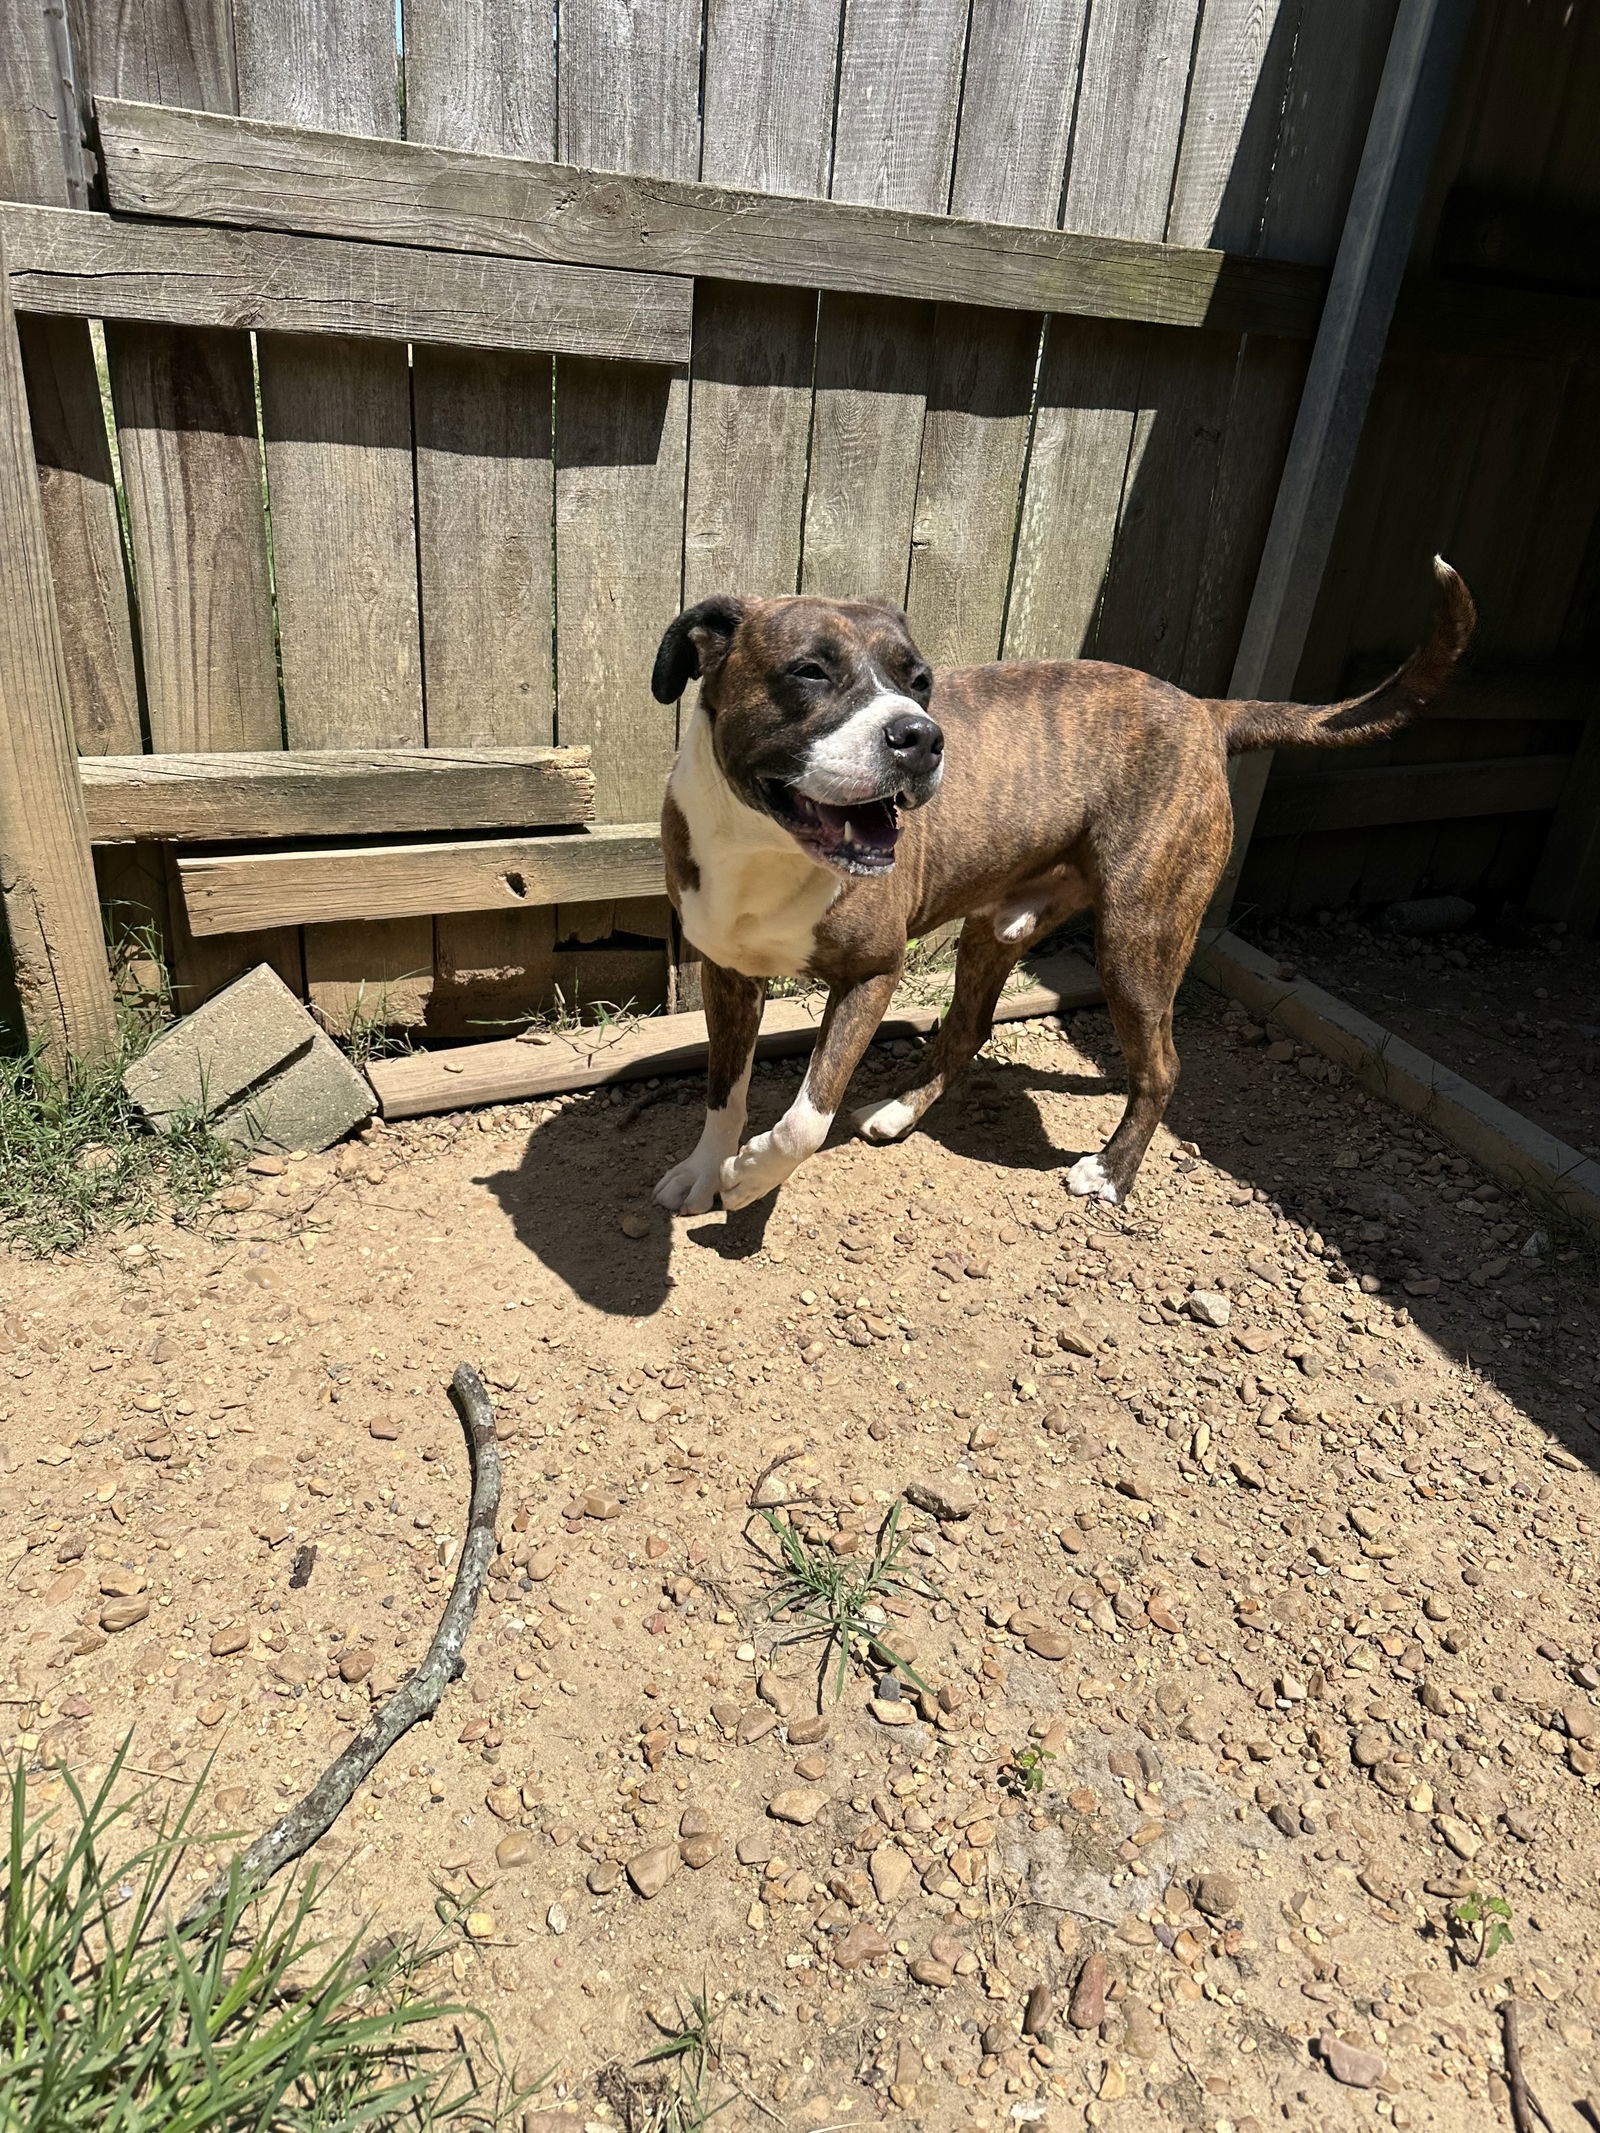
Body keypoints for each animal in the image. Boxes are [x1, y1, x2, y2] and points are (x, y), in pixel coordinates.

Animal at [644, 558, 1476, 1220]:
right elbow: (723, 1087)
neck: (764, 844)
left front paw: (750, 1175)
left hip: (1138, 943)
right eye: (810, 671)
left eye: (921, 682)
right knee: (968, 1026)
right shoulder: (727, 976)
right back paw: (901, 1111)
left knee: (1160, 1067)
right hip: (998, 929)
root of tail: (1206, 710)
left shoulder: (871, 974)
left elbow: (805, 1116)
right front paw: (703, 1169)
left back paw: (1111, 1173)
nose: (921, 736)